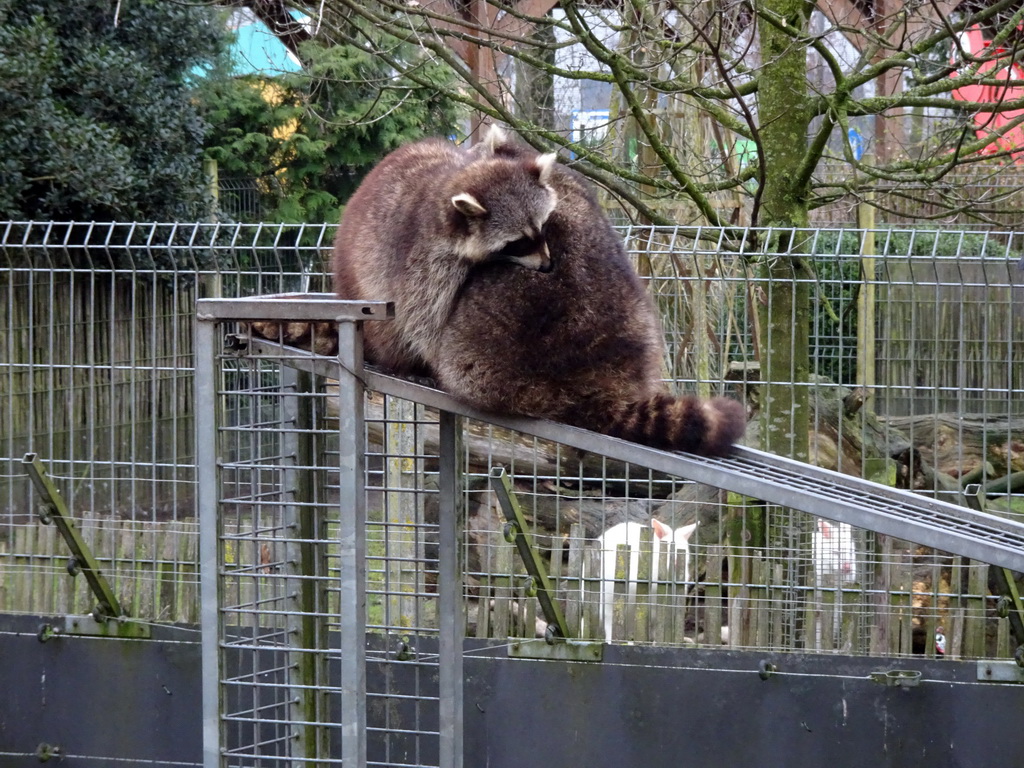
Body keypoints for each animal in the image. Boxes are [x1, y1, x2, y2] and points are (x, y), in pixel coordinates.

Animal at [335, 126, 745, 456]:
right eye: (516, 242)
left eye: (542, 228)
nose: (548, 265)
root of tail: (595, 383)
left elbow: (423, 317)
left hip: (486, 355)